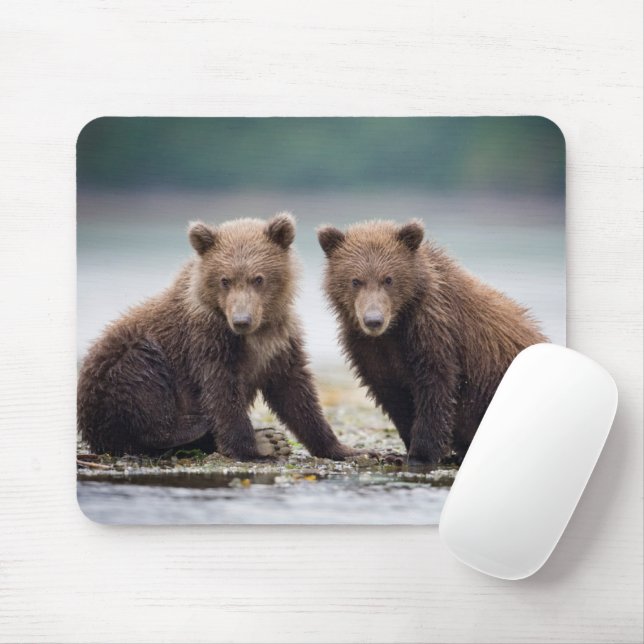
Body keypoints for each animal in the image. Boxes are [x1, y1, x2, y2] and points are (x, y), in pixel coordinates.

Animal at [78, 212, 363, 461]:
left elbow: (296, 392)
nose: (241, 320)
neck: (254, 333)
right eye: (225, 280)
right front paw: (252, 447)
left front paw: (343, 448)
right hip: (115, 369)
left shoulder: (279, 341)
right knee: (141, 379)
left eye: (258, 278)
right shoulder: (207, 341)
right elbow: (222, 392)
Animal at [317, 219, 548, 465]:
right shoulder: (368, 348)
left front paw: (420, 453)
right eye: (355, 280)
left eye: (388, 279)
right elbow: (392, 394)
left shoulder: (433, 334)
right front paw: (402, 450)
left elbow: (435, 390)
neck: (396, 326)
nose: (373, 320)